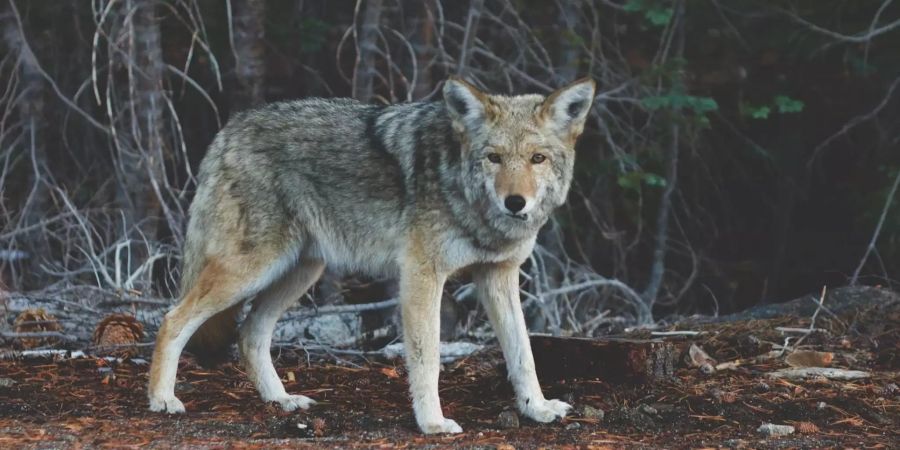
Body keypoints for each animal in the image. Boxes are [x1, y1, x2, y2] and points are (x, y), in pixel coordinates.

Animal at [148, 75, 596, 434]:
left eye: (537, 158)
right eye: (494, 158)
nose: (515, 202)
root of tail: (230, 128)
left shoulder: (498, 276)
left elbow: (524, 353)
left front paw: (537, 409)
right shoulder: (421, 276)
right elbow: (428, 358)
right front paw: (432, 423)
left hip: (300, 272)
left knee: (249, 334)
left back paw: (282, 400)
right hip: (251, 270)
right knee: (173, 319)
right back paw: (162, 399)